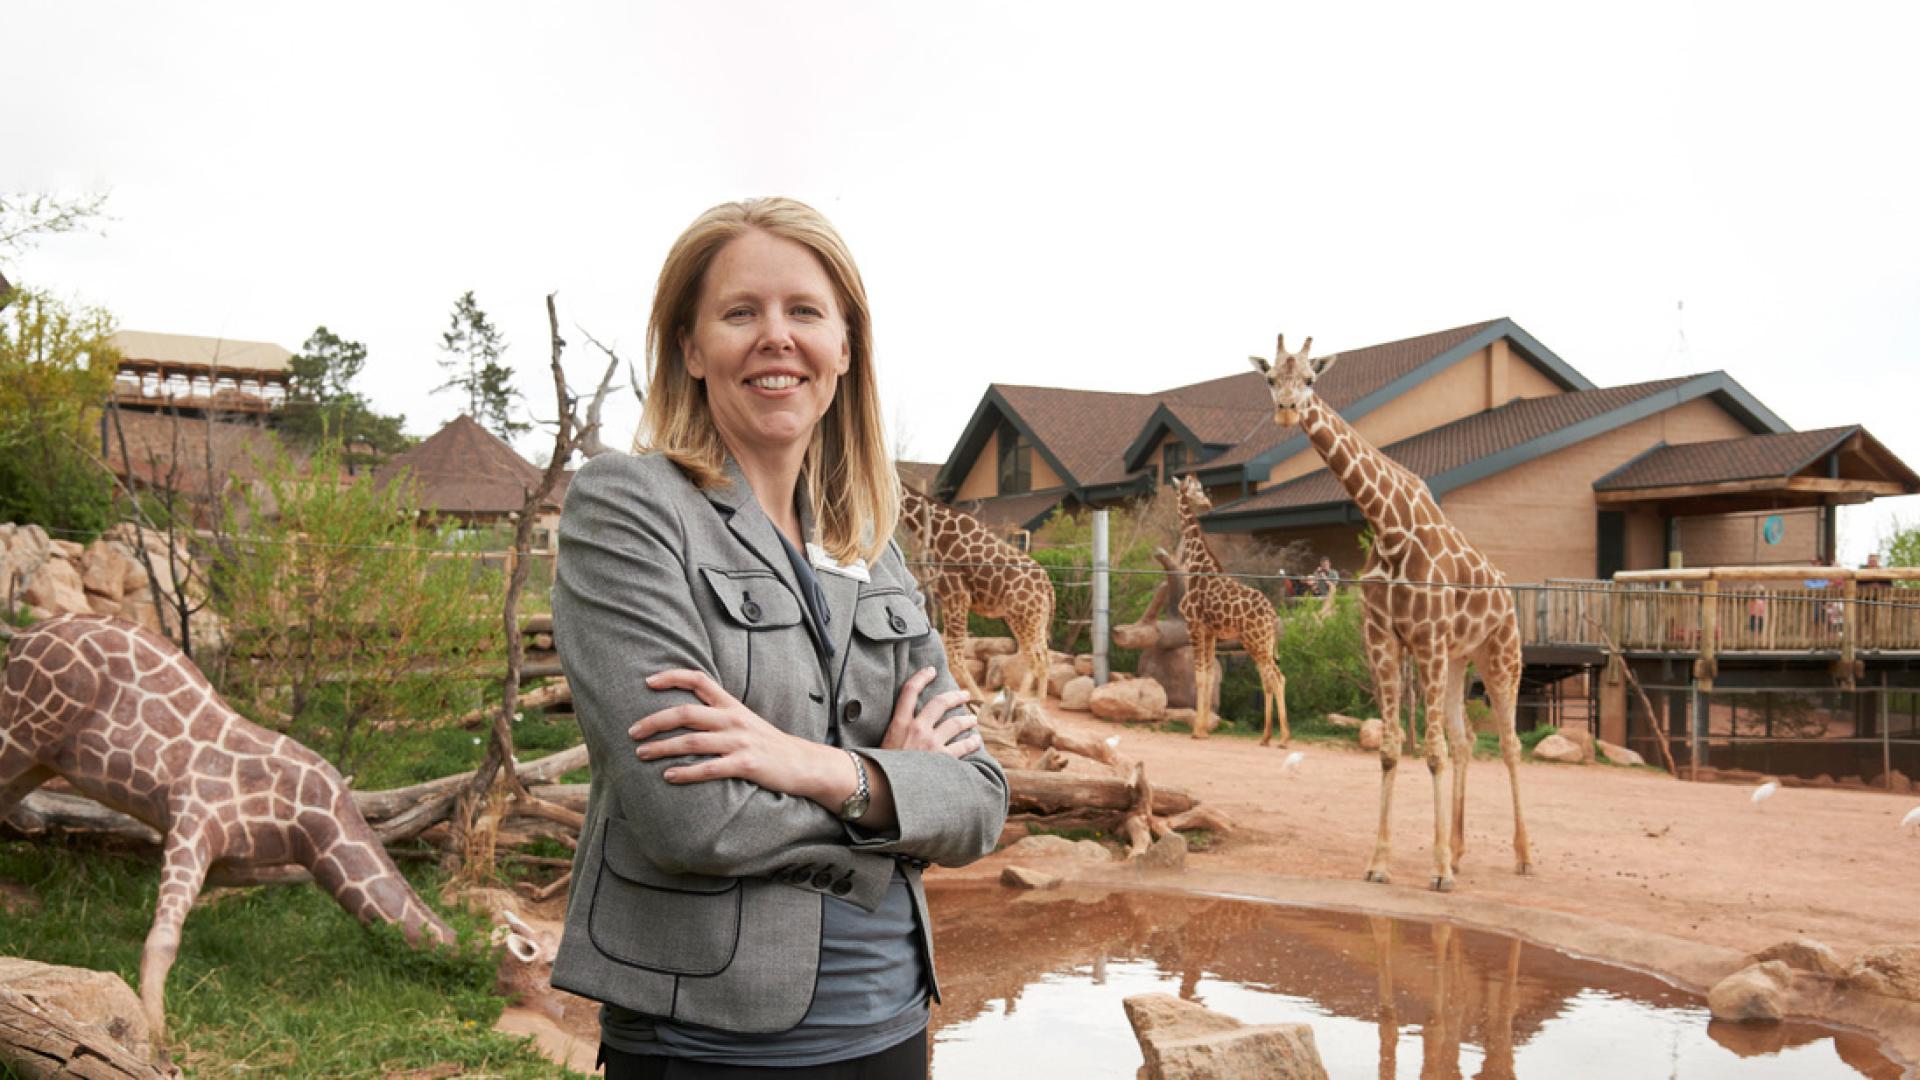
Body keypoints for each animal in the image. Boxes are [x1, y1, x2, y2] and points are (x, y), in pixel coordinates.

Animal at [0, 611, 453, 1037]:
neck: (312, 824)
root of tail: (23, 635)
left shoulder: (234, 860)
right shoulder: (192, 820)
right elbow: (163, 938)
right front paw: (157, 1038)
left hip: (41, 759)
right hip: (22, 732)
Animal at [894, 486, 1052, 699]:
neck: (937, 532)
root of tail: (1048, 586)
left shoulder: (955, 594)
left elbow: (953, 656)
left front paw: (978, 700)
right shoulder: (948, 597)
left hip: (1024, 618)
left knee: (1037, 659)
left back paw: (1026, 701)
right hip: (1035, 620)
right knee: (1042, 656)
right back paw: (1032, 701)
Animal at [1167, 474, 1290, 745]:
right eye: (1196, 489)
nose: (1207, 503)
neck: (1197, 564)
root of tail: (1274, 616)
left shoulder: (1193, 625)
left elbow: (1199, 675)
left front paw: (1196, 731)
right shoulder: (1210, 631)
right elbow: (1210, 675)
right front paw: (1203, 729)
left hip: (1255, 641)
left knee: (1276, 678)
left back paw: (1283, 738)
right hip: (1261, 643)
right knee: (1269, 679)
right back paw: (1266, 737)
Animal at [1251, 332, 1536, 887]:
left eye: (1311, 378)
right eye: (1271, 378)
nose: (1287, 411)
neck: (1387, 527)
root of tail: (1507, 593)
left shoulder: (1425, 639)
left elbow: (1431, 750)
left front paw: (1439, 871)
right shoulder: (1384, 640)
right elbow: (1391, 749)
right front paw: (1382, 862)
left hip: (1501, 656)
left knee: (1510, 744)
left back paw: (1524, 856)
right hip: (1458, 660)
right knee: (1466, 740)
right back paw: (1461, 849)